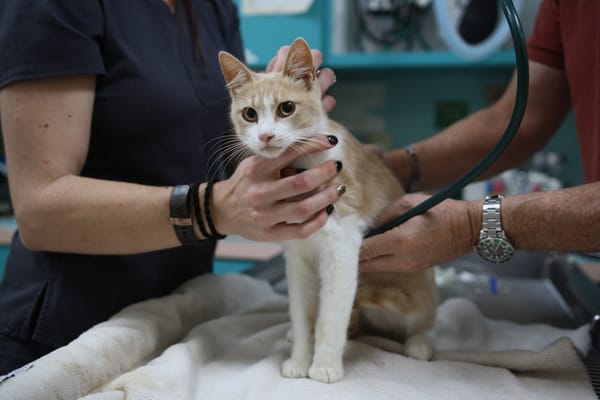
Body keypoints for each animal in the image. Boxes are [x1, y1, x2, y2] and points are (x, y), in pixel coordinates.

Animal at [218, 38, 438, 384]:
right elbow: (302, 315)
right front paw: (299, 359)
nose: (266, 135)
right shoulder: (296, 258)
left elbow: (329, 318)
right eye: (250, 114)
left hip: (416, 286)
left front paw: (324, 364)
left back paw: (420, 343)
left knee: (424, 316)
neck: (302, 167)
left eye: (286, 108)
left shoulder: (342, 249)